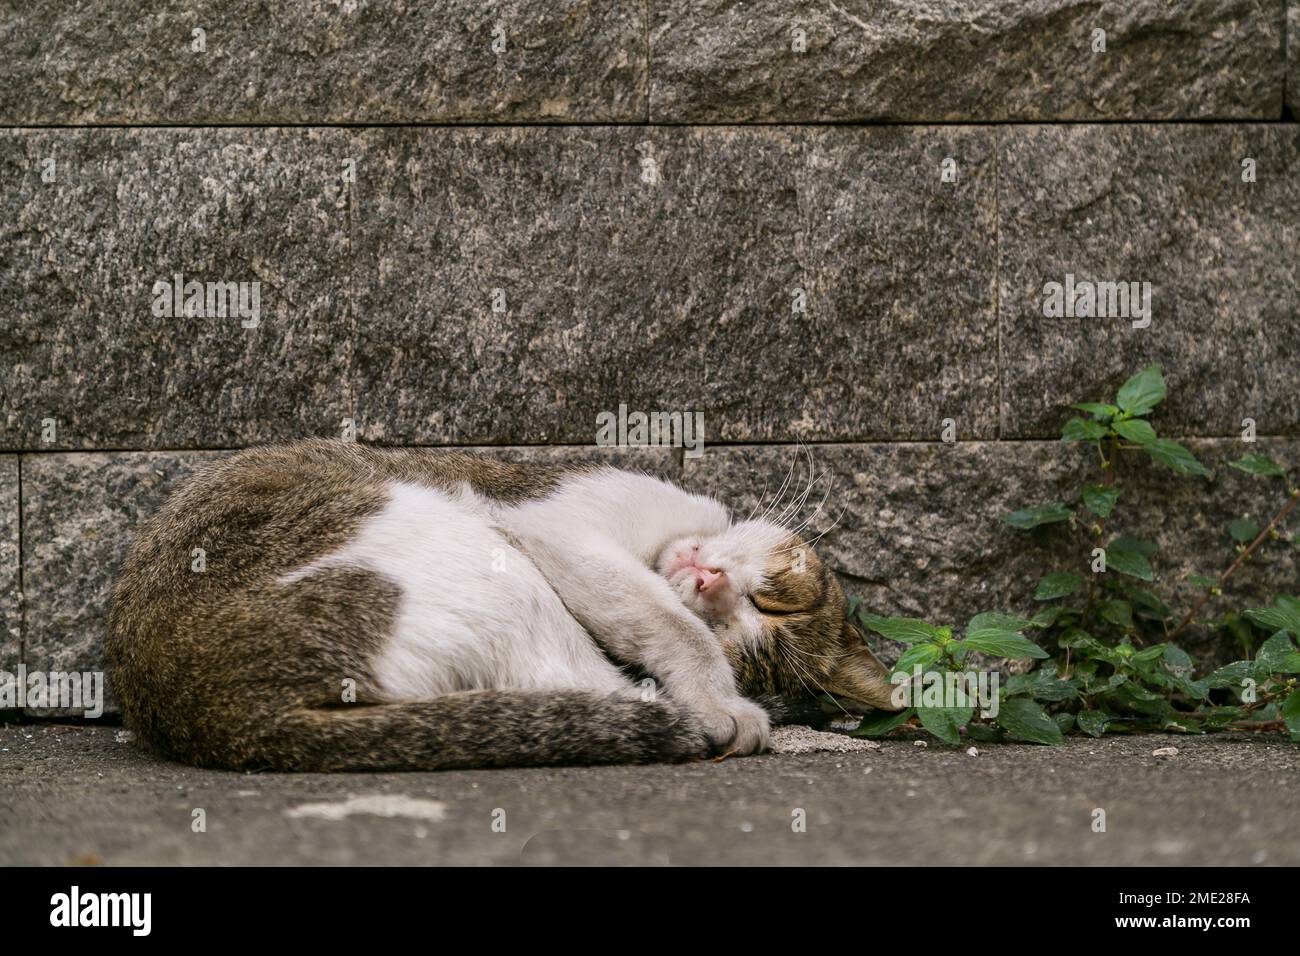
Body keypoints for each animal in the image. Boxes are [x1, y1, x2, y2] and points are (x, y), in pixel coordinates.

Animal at [106, 442, 899, 770]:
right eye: (771, 604)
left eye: (753, 624)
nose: (710, 586)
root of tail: (213, 710)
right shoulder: (556, 526)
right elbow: (669, 625)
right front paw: (720, 694)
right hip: (477, 552)